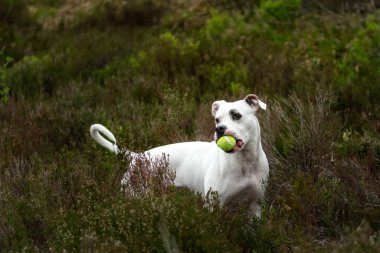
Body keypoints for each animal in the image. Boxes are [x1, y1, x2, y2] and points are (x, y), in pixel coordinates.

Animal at [90, 94, 268, 216]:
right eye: (217, 119)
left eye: (236, 115)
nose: (219, 129)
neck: (245, 161)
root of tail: (137, 157)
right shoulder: (214, 206)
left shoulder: (255, 205)